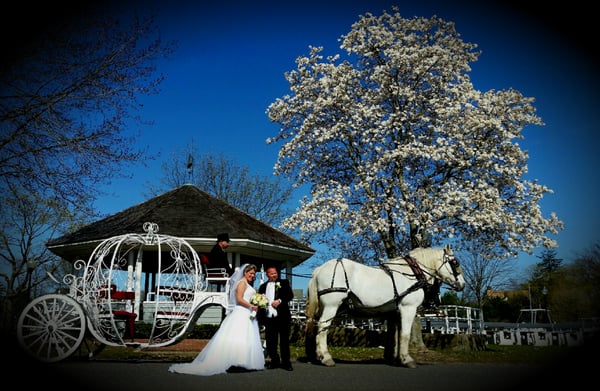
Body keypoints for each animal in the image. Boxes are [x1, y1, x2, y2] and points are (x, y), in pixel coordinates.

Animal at [304, 247, 464, 370]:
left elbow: (395, 335)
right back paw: (326, 358)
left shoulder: (395, 313)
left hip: (323, 307)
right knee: (323, 327)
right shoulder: (408, 308)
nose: (462, 285)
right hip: (331, 306)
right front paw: (407, 360)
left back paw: (315, 356)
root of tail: (319, 269)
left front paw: (395, 358)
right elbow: (405, 334)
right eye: (455, 262)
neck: (413, 273)